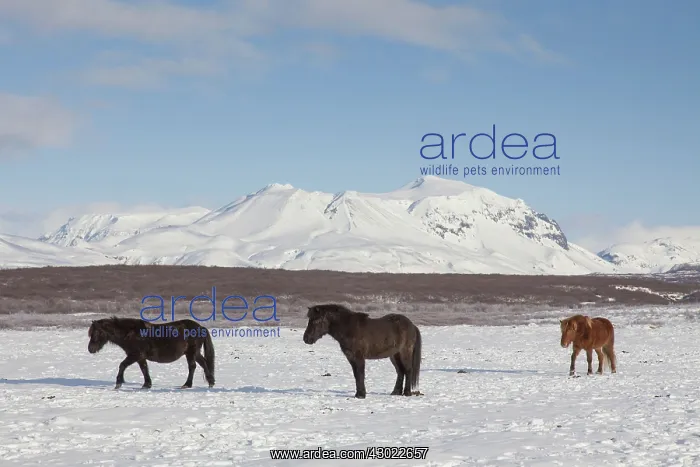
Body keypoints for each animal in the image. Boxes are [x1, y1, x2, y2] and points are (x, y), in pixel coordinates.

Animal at [87, 317, 215, 390]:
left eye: (97, 332)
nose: (90, 349)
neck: (131, 334)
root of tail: (201, 327)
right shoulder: (140, 357)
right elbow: (144, 369)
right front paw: (147, 384)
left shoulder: (135, 355)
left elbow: (122, 365)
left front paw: (118, 383)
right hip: (195, 353)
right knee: (204, 363)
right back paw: (211, 382)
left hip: (191, 353)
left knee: (192, 366)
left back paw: (187, 385)